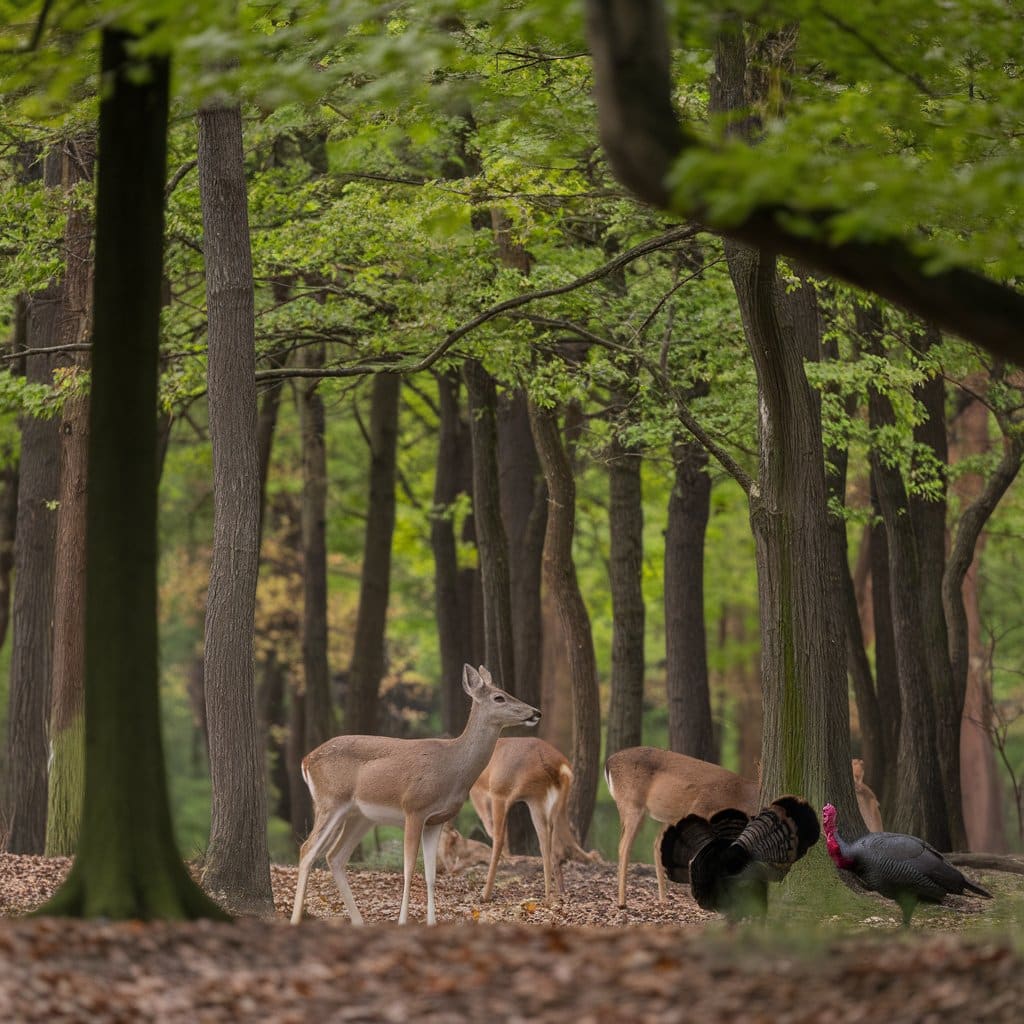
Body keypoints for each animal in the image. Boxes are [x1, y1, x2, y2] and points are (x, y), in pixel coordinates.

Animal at [288, 663, 540, 929]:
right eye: (499, 697)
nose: (536, 712)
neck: (452, 767)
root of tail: (305, 760)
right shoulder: (414, 808)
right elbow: (409, 869)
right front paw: (402, 921)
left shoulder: (436, 820)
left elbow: (430, 875)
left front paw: (431, 923)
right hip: (330, 801)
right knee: (307, 850)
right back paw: (296, 919)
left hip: (360, 816)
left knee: (334, 856)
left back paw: (358, 922)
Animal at [468, 741, 598, 901]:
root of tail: (561, 767)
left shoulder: (489, 793)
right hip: (543, 800)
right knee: (550, 842)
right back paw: (556, 892)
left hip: (513, 793)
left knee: (502, 838)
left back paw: (486, 894)